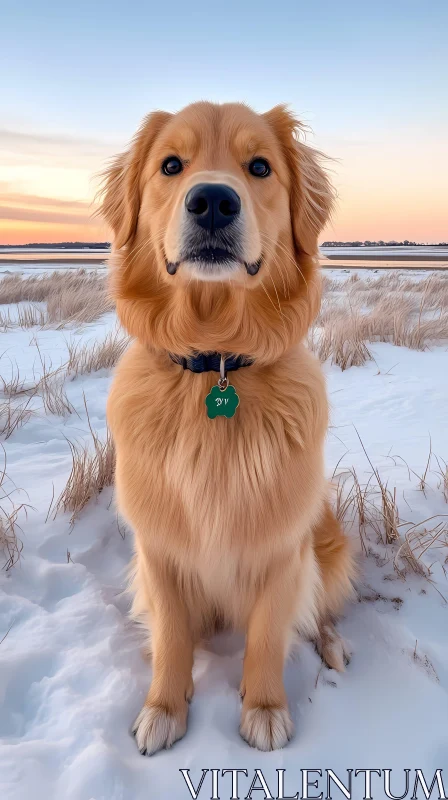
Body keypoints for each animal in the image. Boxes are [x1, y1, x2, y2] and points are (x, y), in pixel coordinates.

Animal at [101, 103, 356, 752]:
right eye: (171, 165)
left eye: (259, 167)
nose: (213, 201)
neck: (215, 363)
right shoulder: (158, 548)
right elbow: (171, 634)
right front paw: (164, 707)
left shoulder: (283, 548)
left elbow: (267, 635)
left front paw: (264, 708)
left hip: (328, 541)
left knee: (322, 610)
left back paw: (334, 645)